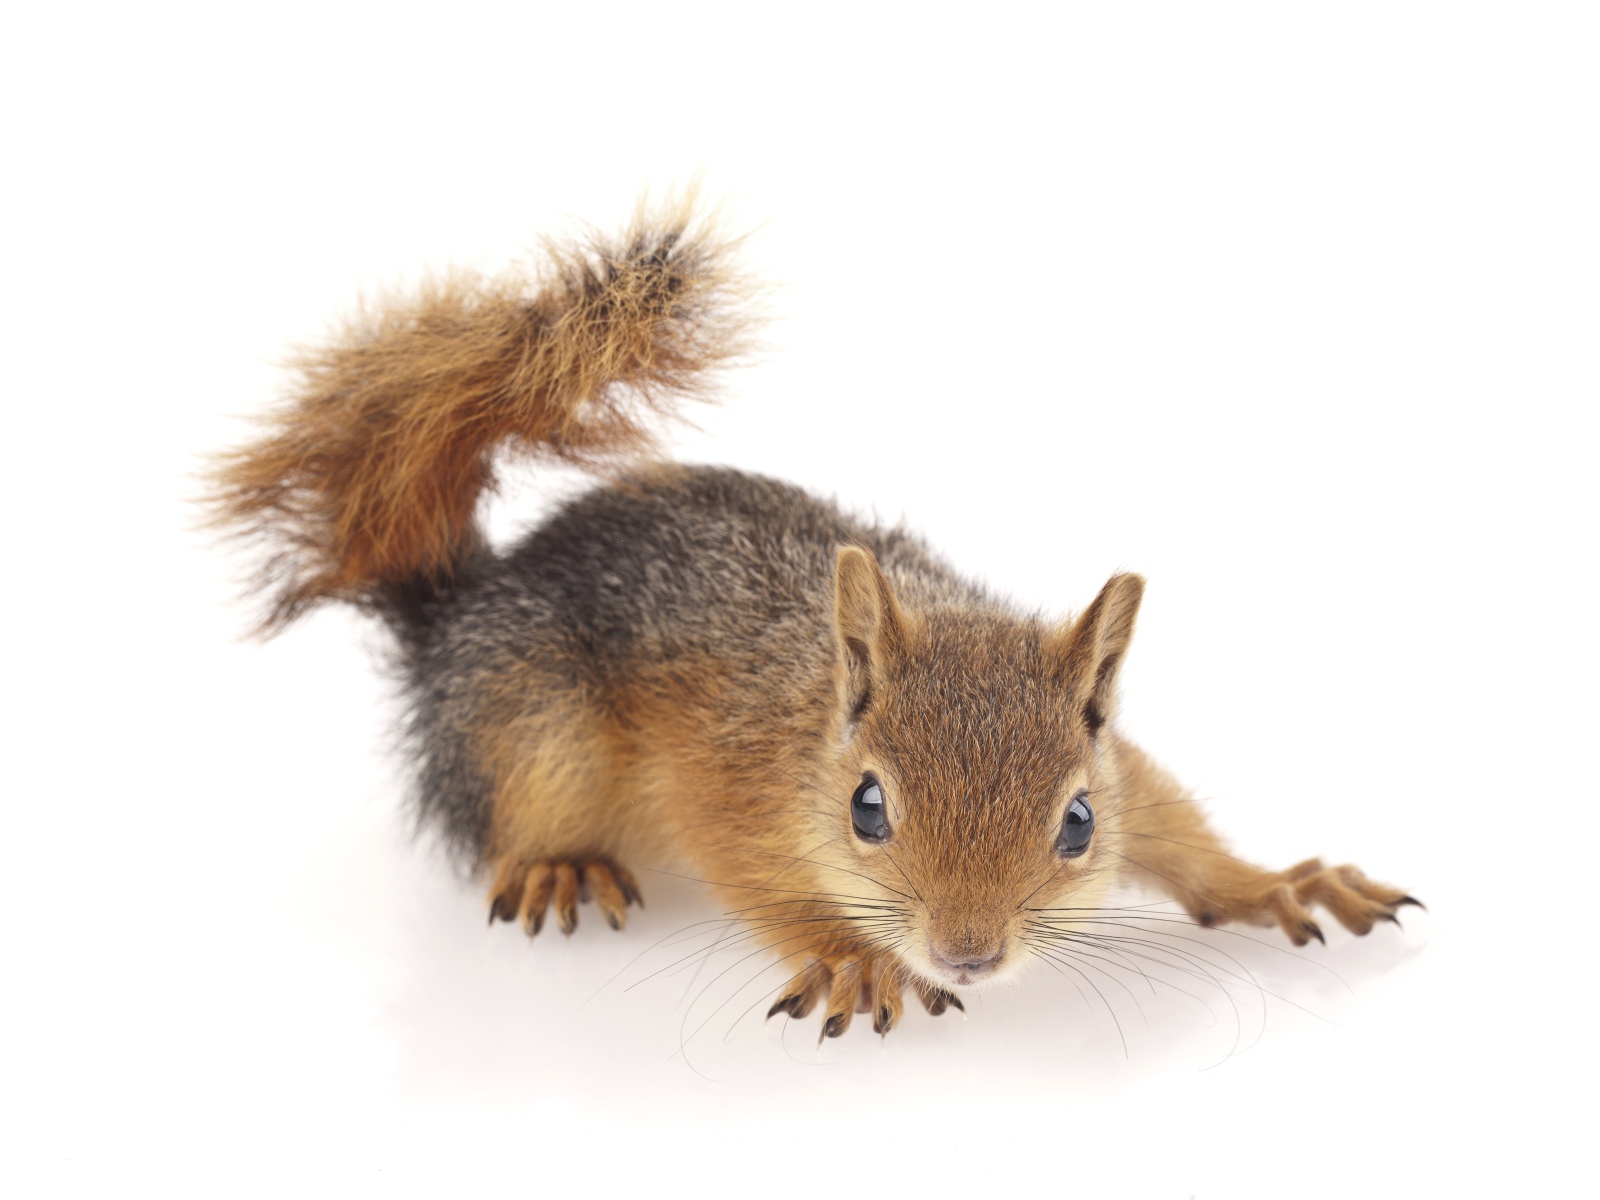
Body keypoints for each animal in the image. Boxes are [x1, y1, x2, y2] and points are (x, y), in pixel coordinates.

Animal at [206, 197, 1420, 1043]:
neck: (818, 711)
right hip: (532, 725)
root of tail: (463, 607)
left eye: (1077, 824)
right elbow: (753, 876)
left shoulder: (1128, 773)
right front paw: (848, 955)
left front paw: (1279, 883)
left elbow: (1180, 832)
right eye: (866, 809)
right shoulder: (727, 783)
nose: (966, 953)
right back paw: (559, 866)